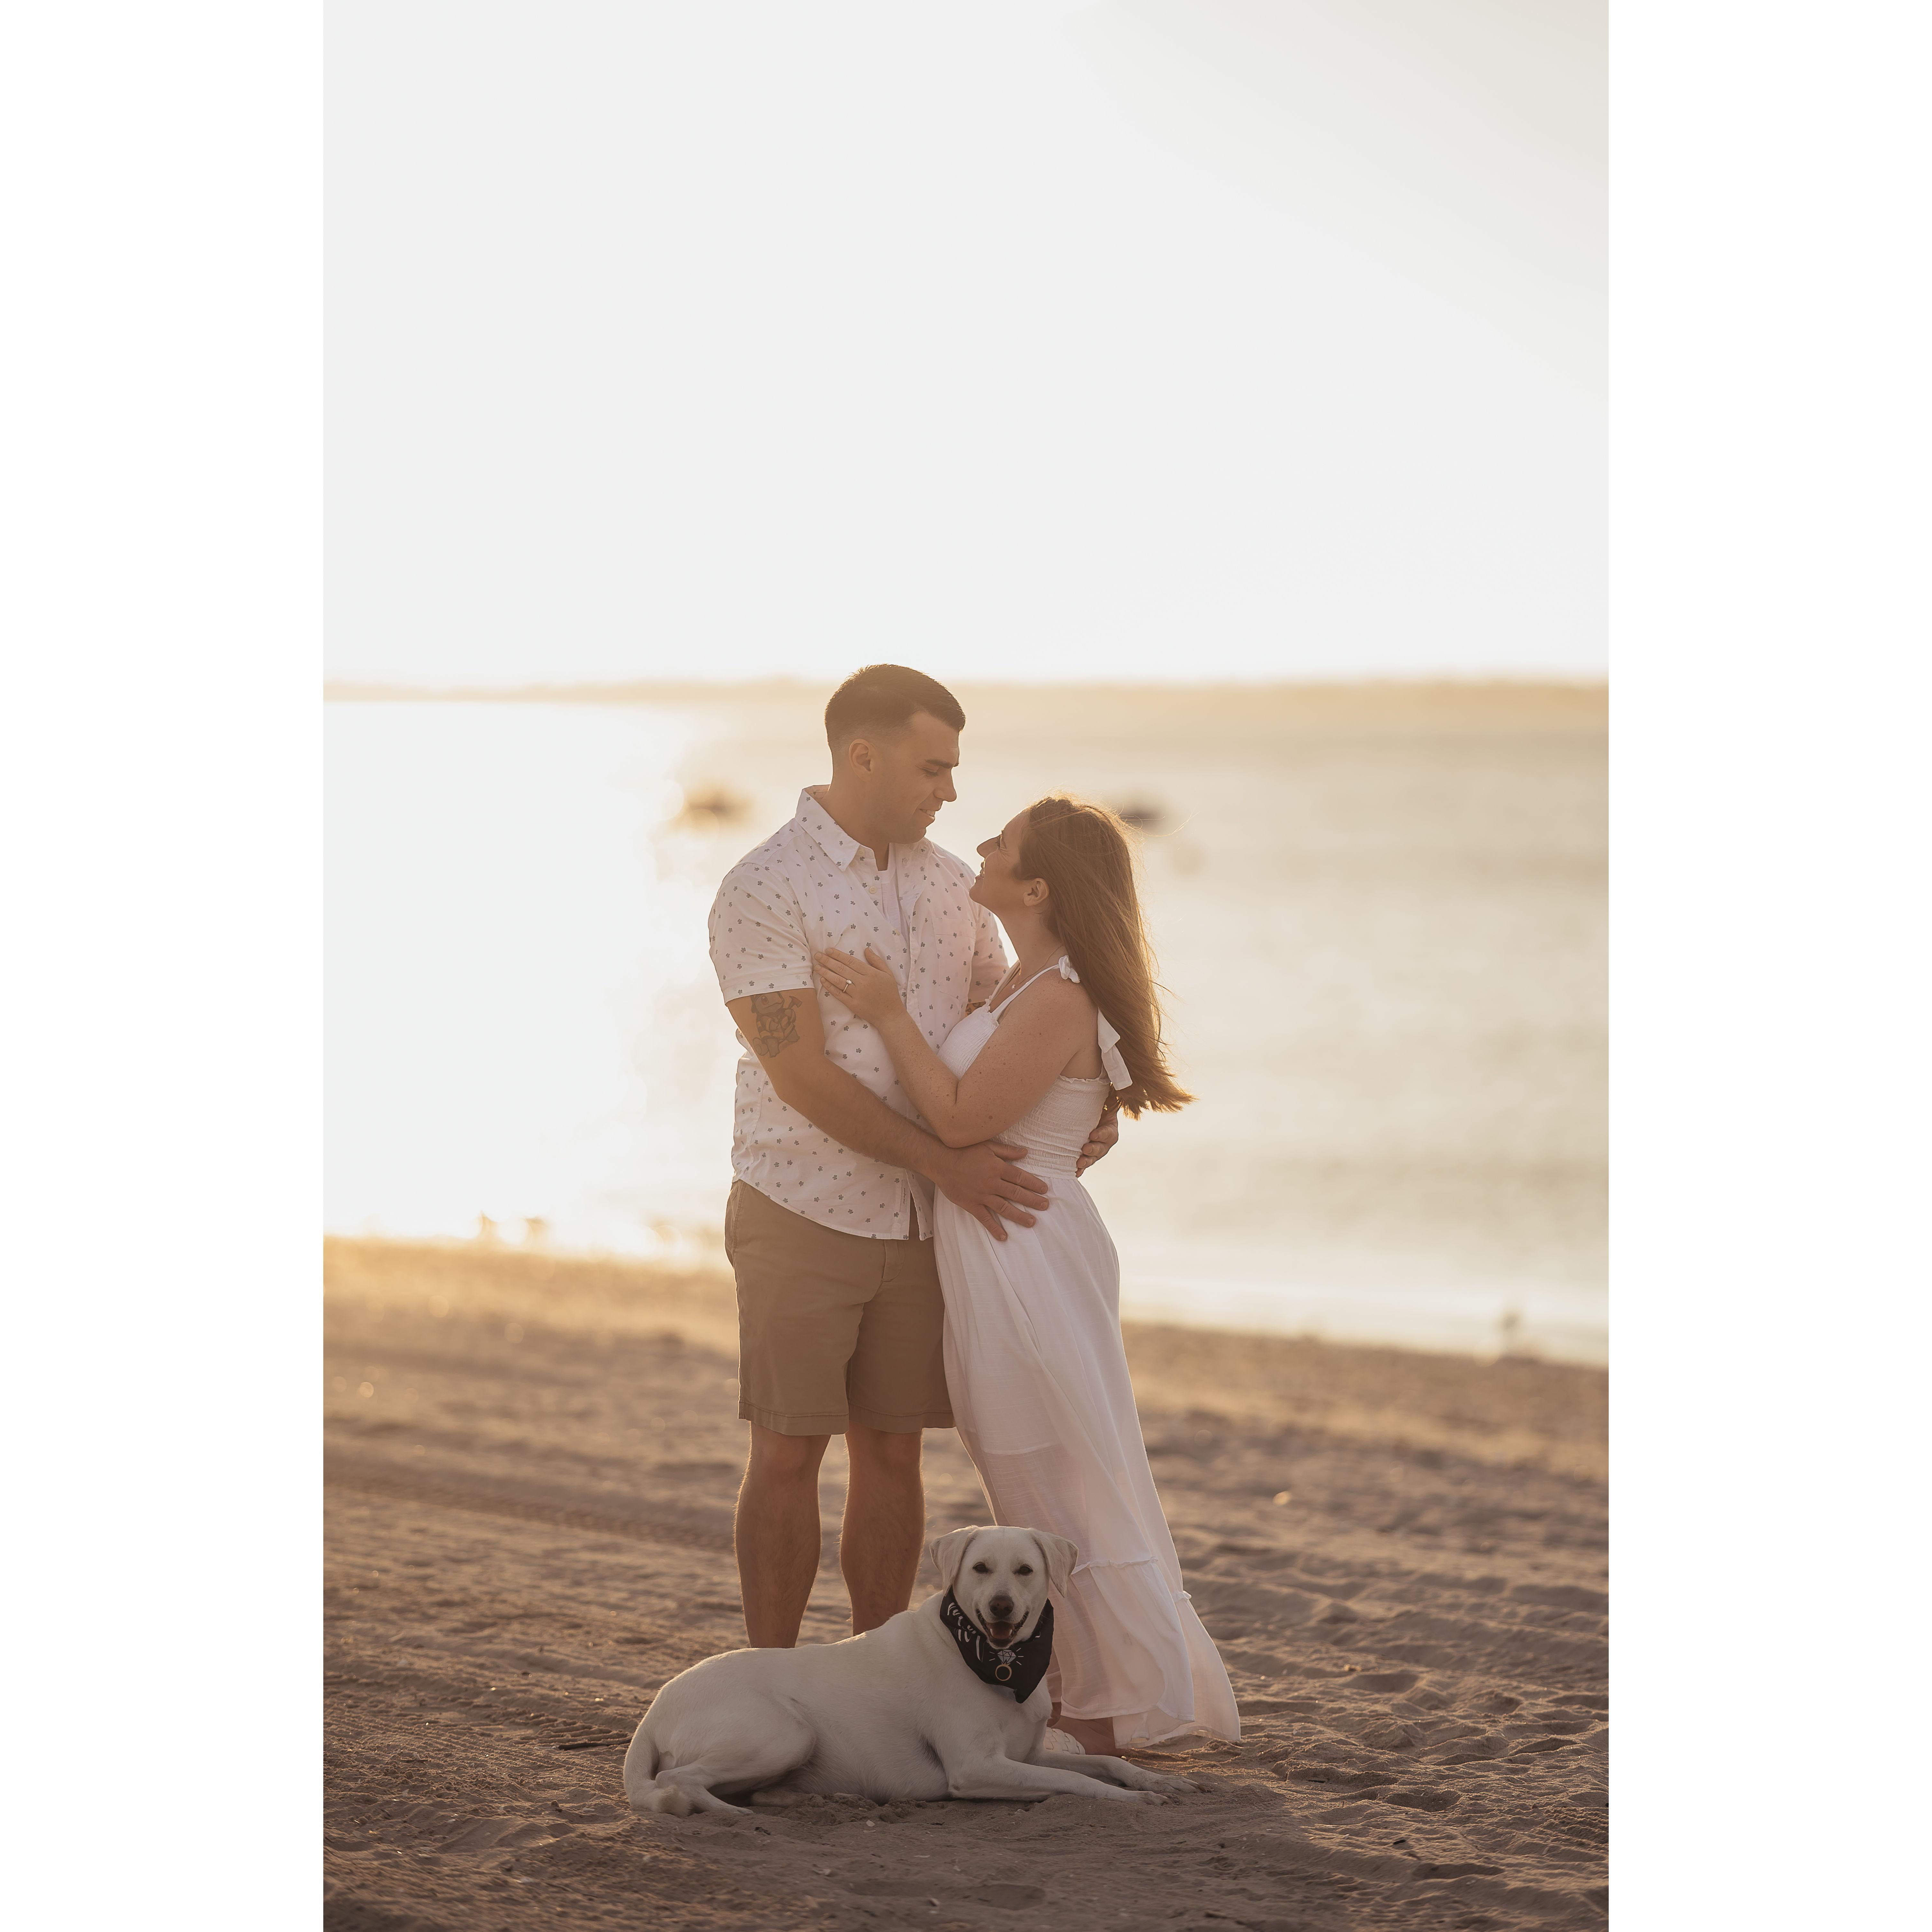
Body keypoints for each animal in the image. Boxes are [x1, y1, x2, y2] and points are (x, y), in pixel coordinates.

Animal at [623, 1525, 1201, 1815]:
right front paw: (1132, 1799)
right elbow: (1077, 1782)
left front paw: (1154, 1779)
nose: (1000, 1607)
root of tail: (654, 1710)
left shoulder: (1026, 1753)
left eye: (1024, 1570)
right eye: (980, 1568)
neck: (999, 1664)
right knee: (677, 1778)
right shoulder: (976, 1767)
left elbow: (1105, 1763)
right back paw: (720, 1812)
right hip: (784, 1732)